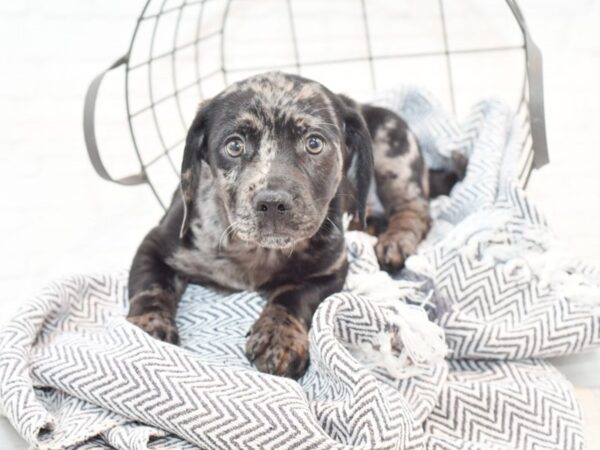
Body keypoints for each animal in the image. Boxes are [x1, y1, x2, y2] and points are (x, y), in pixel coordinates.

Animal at [127, 72, 464, 378]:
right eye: (234, 146)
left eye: (314, 143)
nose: (272, 203)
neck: (255, 252)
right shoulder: (155, 245)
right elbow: (150, 287)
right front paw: (147, 328)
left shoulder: (329, 269)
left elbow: (292, 298)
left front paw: (280, 337)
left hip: (394, 157)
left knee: (415, 210)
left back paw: (396, 241)